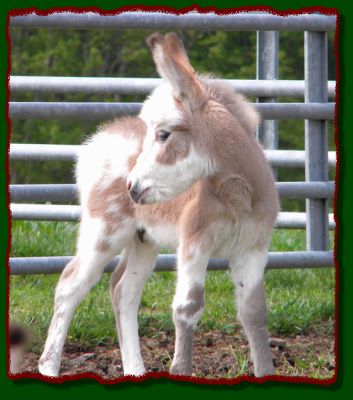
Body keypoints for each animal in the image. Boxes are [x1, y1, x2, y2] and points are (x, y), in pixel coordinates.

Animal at [38, 32, 280, 378]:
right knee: (70, 286)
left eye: (164, 135)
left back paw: (135, 370)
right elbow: (188, 307)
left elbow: (255, 313)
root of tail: (99, 138)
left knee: (123, 292)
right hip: (103, 232)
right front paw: (180, 370)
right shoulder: (194, 242)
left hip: (143, 241)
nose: (132, 187)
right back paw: (48, 368)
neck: (237, 197)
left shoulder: (253, 247)